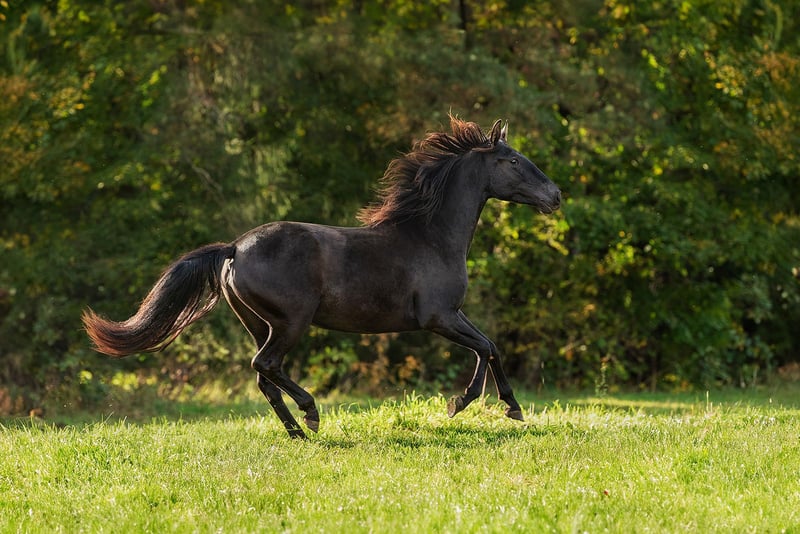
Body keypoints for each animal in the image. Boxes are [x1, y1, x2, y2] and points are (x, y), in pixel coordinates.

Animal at [83, 116, 562, 439]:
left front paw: (507, 406)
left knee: (264, 376)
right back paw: (311, 415)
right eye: (513, 160)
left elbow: (490, 346)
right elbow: (486, 347)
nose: (555, 195)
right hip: (291, 322)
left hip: (259, 324)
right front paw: (464, 404)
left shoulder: (451, 315)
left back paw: (296, 432)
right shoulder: (438, 317)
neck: (431, 235)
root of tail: (234, 248)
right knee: (265, 366)